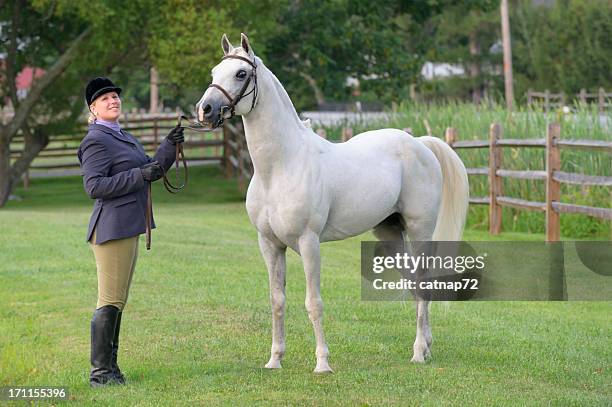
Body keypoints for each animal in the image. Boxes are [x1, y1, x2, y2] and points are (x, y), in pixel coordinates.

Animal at [196, 35, 468, 372]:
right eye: (214, 71)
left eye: (241, 74)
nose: (205, 110)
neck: (281, 166)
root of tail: (420, 144)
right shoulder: (269, 244)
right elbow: (277, 300)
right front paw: (275, 360)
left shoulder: (309, 242)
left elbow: (314, 302)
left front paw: (322, 364)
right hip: (390, 233)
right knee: (416, 283)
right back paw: (427, 347)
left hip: (420, 231)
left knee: (422, 283)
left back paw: (418, 352)